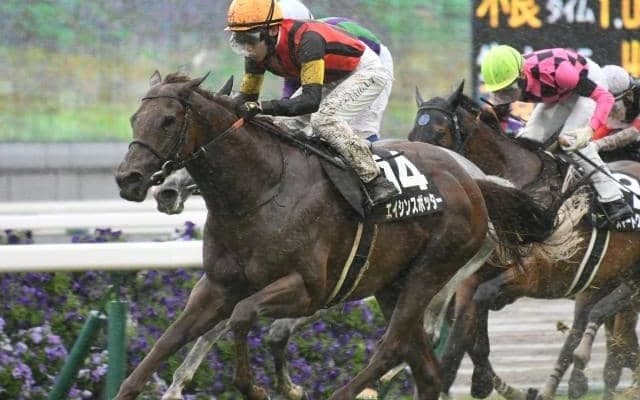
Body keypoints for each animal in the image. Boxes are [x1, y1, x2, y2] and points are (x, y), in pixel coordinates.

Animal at [114, 71, 554, 400]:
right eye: (134, 118)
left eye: (168, 121)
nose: (129, 179)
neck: (260, 191)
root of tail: (473, 181)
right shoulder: (217, 287)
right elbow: (168, 341)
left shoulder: (308, 288)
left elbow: (242, 317)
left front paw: (259, 387)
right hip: (391, 284)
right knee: (424, 367)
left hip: (432, 270)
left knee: (392, 346)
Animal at [408, 81, 640, 400]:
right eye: (411, 135)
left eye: (440, 131)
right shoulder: (473, 278)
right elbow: (460, 339)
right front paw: (477, 378)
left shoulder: (540, 274)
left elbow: (481, 303)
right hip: (610, 278)